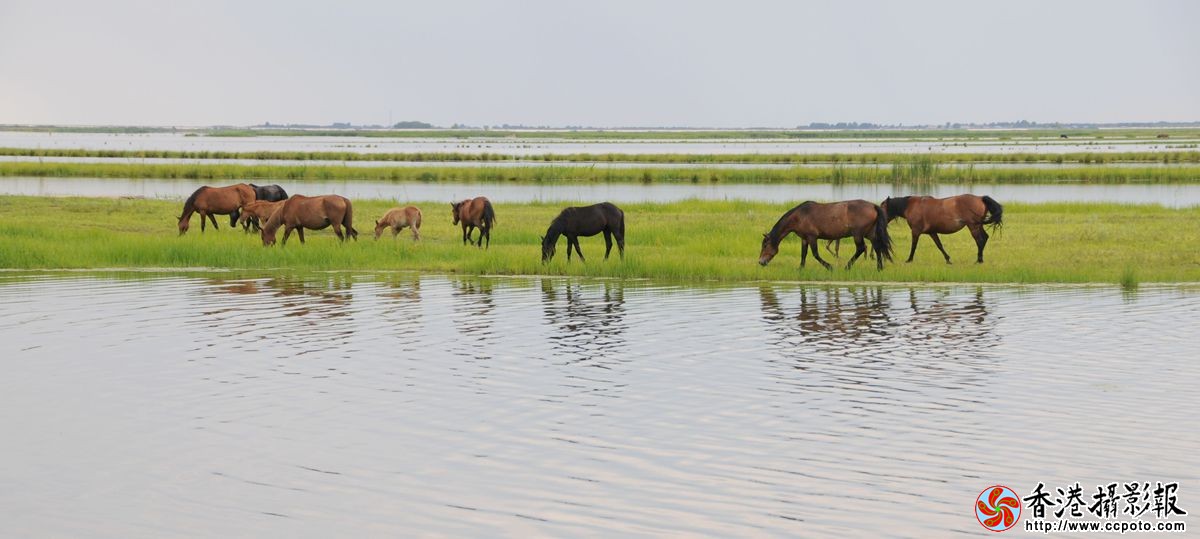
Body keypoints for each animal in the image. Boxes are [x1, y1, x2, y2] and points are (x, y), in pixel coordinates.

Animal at [758, 200, 893, 270]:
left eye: (765, 246)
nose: (761, 262)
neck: (799, 216)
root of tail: (873, 206)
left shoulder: (812, 237)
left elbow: (815, 254)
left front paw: (829, 267)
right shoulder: (804, 238)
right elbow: (803, 254)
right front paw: (801, 268)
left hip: (858, 234)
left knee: (861, 248)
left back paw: (847, 267)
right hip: (870, 233)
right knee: (877, 247)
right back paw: (879, 267)